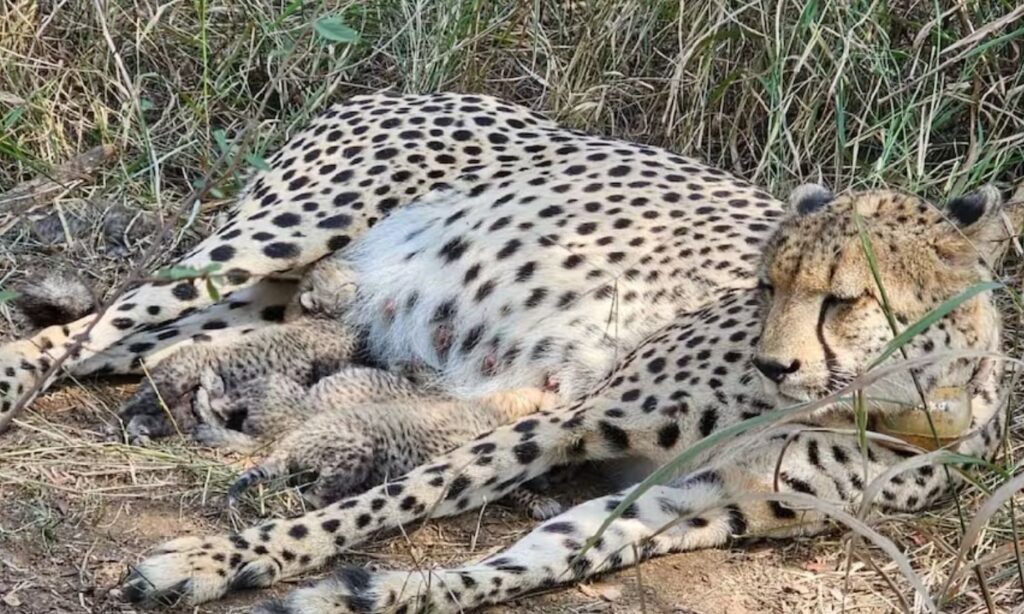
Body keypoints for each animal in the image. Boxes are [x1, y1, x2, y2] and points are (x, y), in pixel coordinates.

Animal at [0, 92, 1016, 613]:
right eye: (768, 286)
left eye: (846, 299)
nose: (776, 367)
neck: (893, 404)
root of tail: (394, 86)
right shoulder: (575, 418)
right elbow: (400, 496)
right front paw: (222, 559)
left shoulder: (696, 502)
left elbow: (534, 561)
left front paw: (374, 592)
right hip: (267, 241)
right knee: (86, 327)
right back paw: (16, 381)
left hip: (258, 302)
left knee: (126, 350)